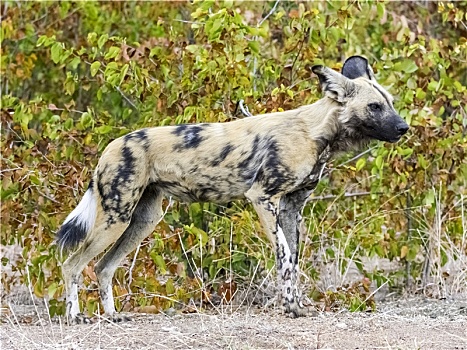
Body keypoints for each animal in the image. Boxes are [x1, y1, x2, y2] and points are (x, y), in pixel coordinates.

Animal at [57, 55, 410, 322]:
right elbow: (284, 256)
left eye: (391, 103)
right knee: (71, 264)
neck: (317, 132)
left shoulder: (291, 207)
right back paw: (75, 317)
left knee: (102, 267)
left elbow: (293, 262)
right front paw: (291, 309)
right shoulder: (263, 198)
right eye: (375, 107)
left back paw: (112, 316)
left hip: (141, 221)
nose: (404, 128)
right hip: (115, 219)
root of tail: (112, 145)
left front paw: (295, 306)